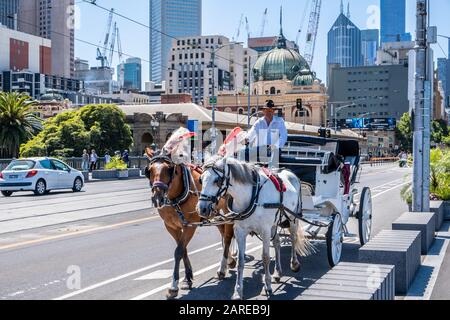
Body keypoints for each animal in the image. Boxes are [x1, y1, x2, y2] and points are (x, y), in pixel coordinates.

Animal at [145, 149, 237, 298]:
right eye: (149, 170)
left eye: (170, 169)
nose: (157, 198)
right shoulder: (171, 227)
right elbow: (183, 250)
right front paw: (187, 279)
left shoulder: (190, 226)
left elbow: (178, 251)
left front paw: (174, 286)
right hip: (214, 214)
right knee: (223, 233)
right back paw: (230, 260)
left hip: (228, 212)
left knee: (228, 237)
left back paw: (223, 268)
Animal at [197, 156, 312, 300]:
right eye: (200, 179)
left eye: (216, 180)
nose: (202, 209)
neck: (252, 195)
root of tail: (289, 172)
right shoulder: (240, 231)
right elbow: (240, 261)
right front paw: (238, 291)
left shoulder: (265, 230)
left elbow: (265, 257)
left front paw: (267, 286)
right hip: (274, 224)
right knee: (277, 243)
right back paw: (277, 273)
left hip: (292, 219)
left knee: (293, 238)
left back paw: (294, 264)